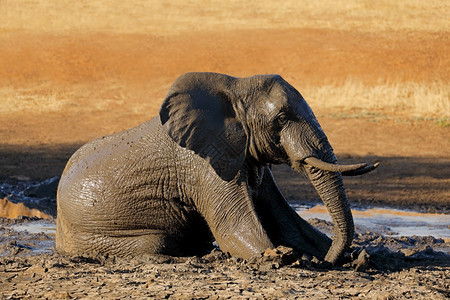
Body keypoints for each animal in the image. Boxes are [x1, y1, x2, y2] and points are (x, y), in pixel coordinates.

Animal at [57, 72, 380, 262]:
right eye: (280, 120)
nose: (331, 260)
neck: (234, 87)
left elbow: (287, 223)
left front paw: (357, 257)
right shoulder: (204, 167)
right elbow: (235, 228)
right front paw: (286, 258)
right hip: (93, 235)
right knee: (156, 244)